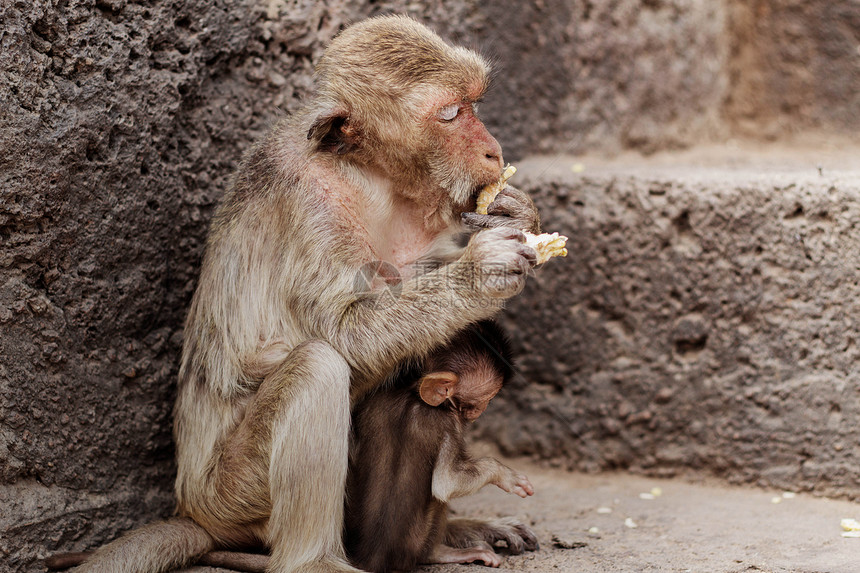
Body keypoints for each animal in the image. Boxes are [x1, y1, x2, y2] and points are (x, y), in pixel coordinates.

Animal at [344, 320, 536, 568]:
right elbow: (446, 483)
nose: (481, 410)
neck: (413, 395)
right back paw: (442, 553)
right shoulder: (449, 423)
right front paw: (505, 475)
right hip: (417, 543)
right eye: (485, 399)